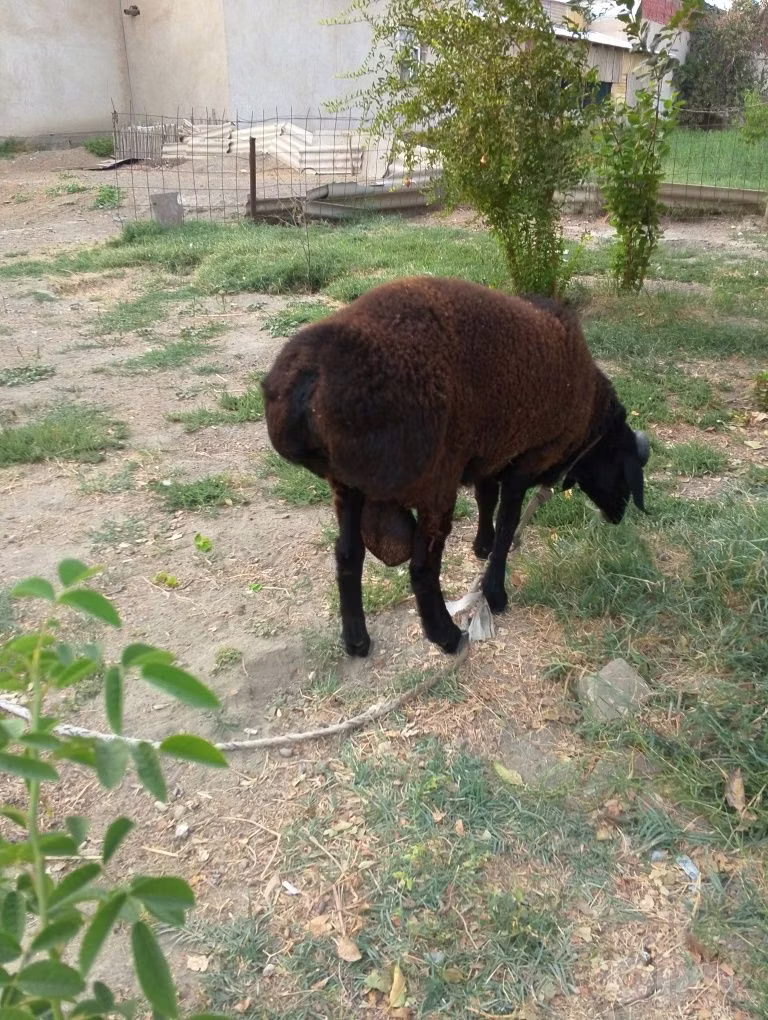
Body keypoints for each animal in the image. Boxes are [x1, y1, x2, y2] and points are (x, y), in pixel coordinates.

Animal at [262, 276, 649, 658]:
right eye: (623, 468)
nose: (618, 517)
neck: (589, 420)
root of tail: (309, 375)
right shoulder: (525, 461)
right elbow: (507, 524)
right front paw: (495, 591)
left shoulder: (490, 451)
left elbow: (485, 500)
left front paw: (481, 545)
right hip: (434, 481)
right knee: (421, 568)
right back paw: (445, 635)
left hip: (348, 485)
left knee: (347, 556)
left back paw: (357, 640)